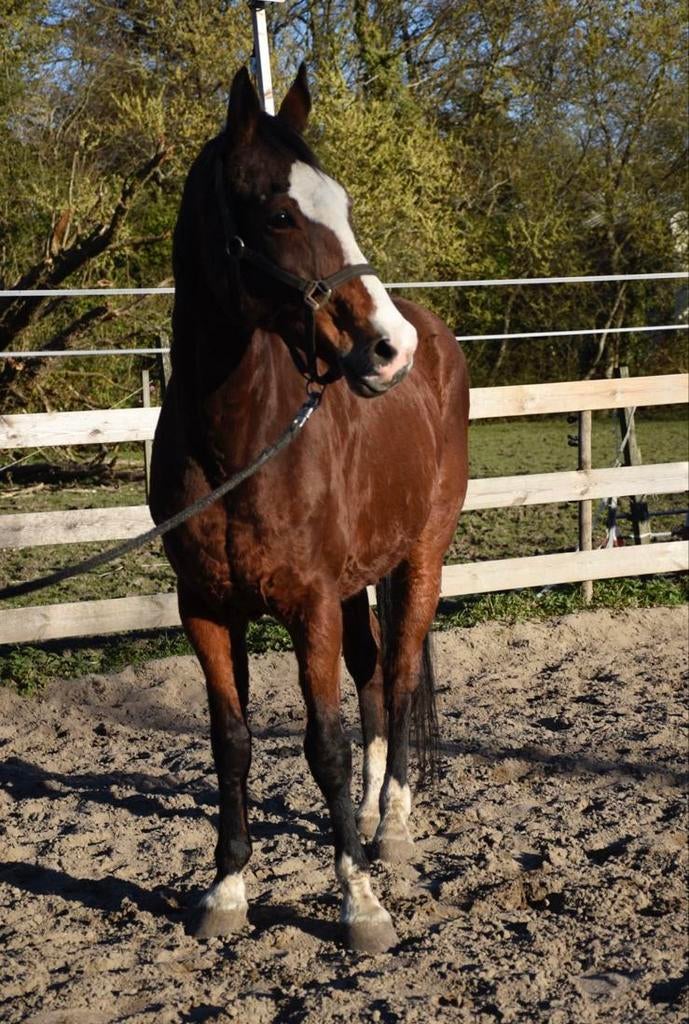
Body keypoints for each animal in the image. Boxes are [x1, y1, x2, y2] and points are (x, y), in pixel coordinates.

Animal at [150, 63, 469, 954]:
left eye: (345, 204)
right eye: (281, 214)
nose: (387, 349)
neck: (236, 443)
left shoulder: (309, 606)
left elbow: (323, 743)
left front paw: (359, 902)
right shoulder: (205, 609)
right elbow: (231, 743)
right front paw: (226, 889)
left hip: (418, 560)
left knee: (398, 675)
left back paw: (388, 826)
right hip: (357, 582)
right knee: (373, 681)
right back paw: (365, 814)